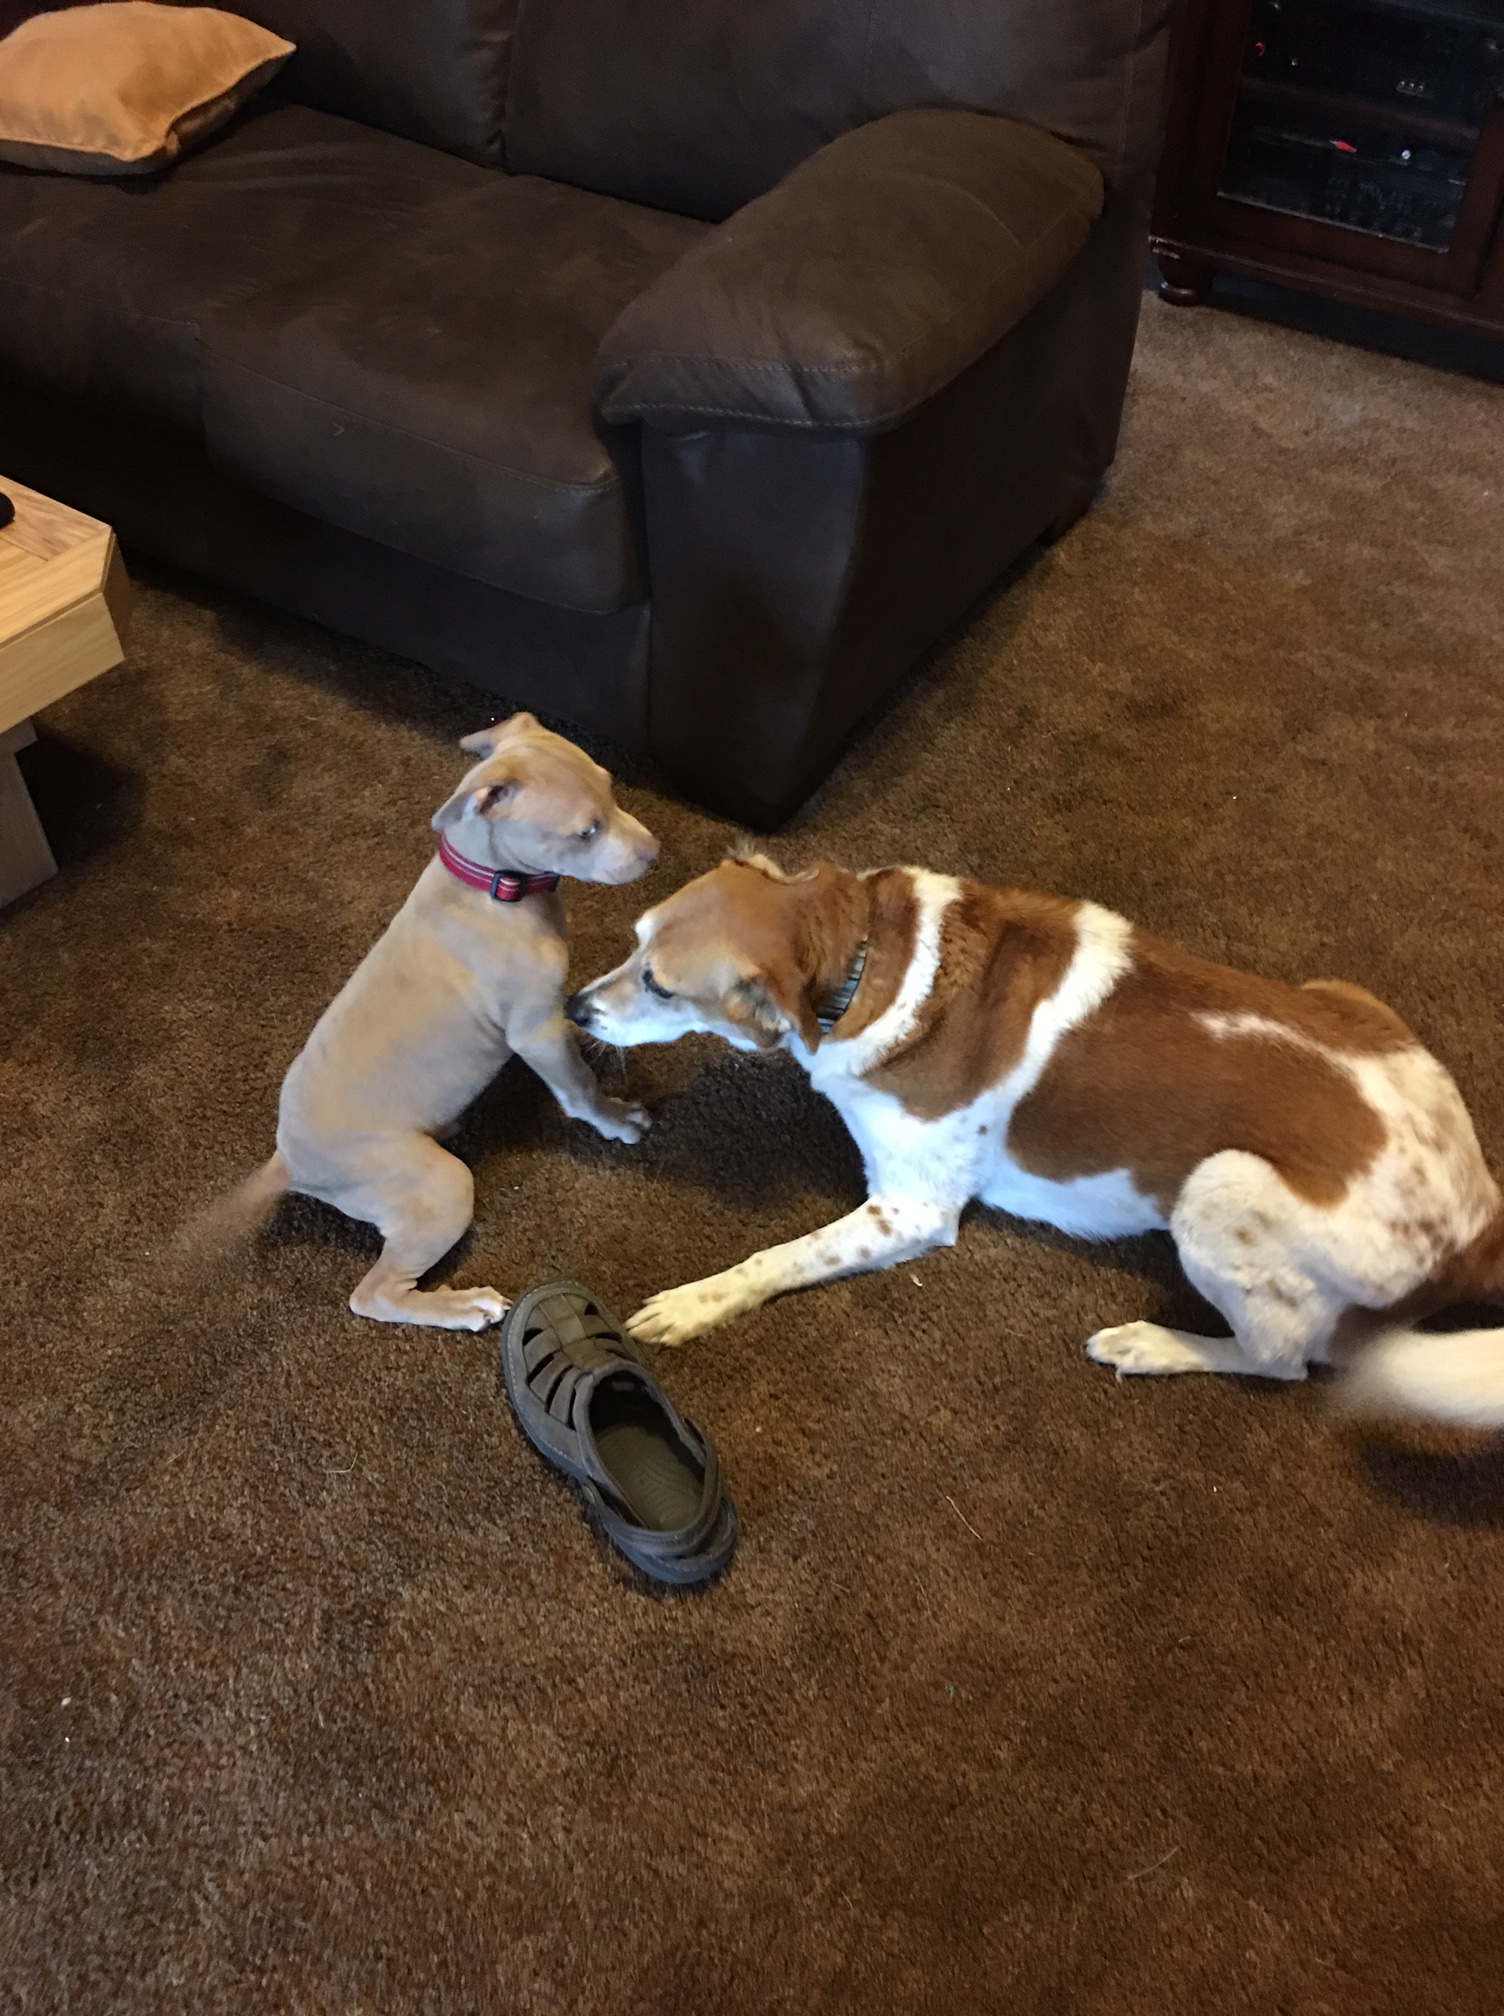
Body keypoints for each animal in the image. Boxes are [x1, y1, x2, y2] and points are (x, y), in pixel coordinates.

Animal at [207, 714, 657, 1328]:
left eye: (613, 790)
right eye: (586, 831)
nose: (654, 852)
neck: (492, 888)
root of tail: (287, 1164)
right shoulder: (533, 1031)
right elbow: (579, 1088)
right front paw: (613, 1118)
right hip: (439, 1184)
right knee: (373, 1295)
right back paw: (463, 1305)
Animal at [568, 854, 1504, 1426]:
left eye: (660, 984)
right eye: (632, 941)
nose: (574, 1008)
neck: (870, 963)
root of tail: (1481, 1224)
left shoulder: (908, 1212)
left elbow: (775, 1257)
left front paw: (696, 1301)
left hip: (1219, 1187)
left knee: (1284, 1359)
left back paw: (1154, 1345)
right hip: (1341, 992)